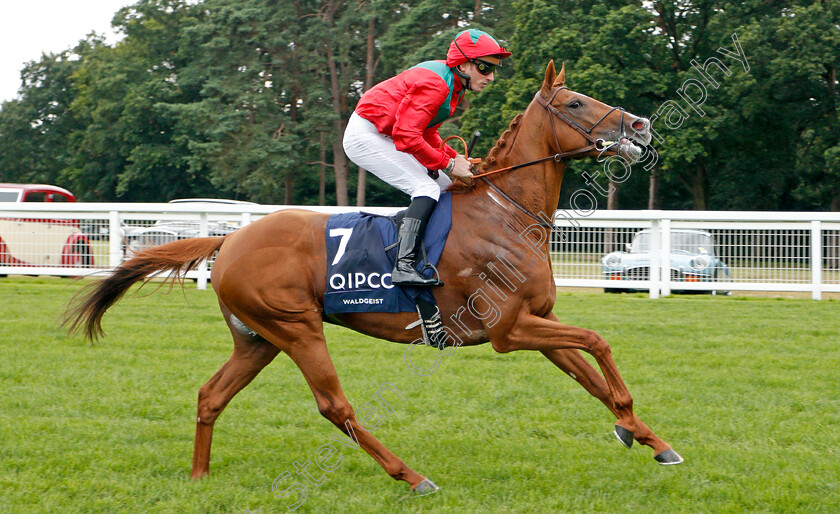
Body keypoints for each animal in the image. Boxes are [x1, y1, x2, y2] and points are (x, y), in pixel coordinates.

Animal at [64, 61, 684, 496]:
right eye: (576, 101)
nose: (641, 124)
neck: (505, 213)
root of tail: (229, 240)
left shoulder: (538, 320)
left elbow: (591, 377)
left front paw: (650, 439)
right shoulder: (509, 331)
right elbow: (599, 344)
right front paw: (634, 427)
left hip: (258, 339)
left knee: (211, 395)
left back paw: (198, 478)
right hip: (296, 328)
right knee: (334, 407)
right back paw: (412, 476)